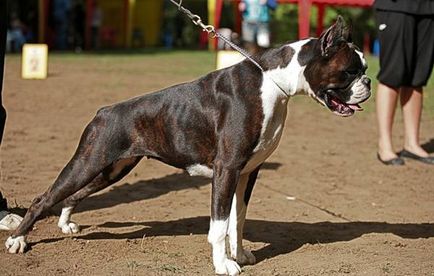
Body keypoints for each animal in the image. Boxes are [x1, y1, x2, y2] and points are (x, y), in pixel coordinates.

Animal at [5, 16, 370, 274]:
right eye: (350, 71)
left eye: (364, 69)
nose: (368, 81)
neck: (274, 84)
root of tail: (105, 111)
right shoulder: (226, 170)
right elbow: (219, 226)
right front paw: (224, 265)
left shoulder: (247, 173)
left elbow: (237, 220)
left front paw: (240, 254)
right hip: (88, 162)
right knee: (43, 199)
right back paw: (17, 239)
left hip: (109, 169)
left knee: (72, 196)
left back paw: (65, 223)